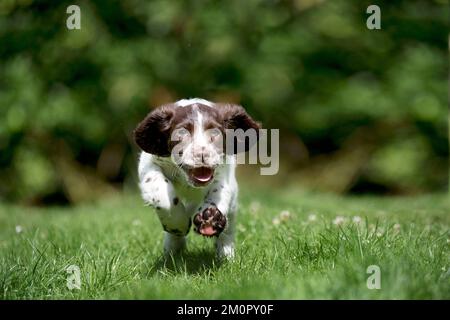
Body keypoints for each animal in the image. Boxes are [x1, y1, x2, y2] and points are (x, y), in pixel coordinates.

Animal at [134, 98, 260, 260]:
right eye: (182, 132)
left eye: (215, 132)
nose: (202, 154)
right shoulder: (149, 163)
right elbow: (161, 192)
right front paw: (178, 224)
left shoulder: (223, 173)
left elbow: (218, 191)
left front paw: (210, 218)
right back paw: (173, 248)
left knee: (229, 228)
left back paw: (226, 253)